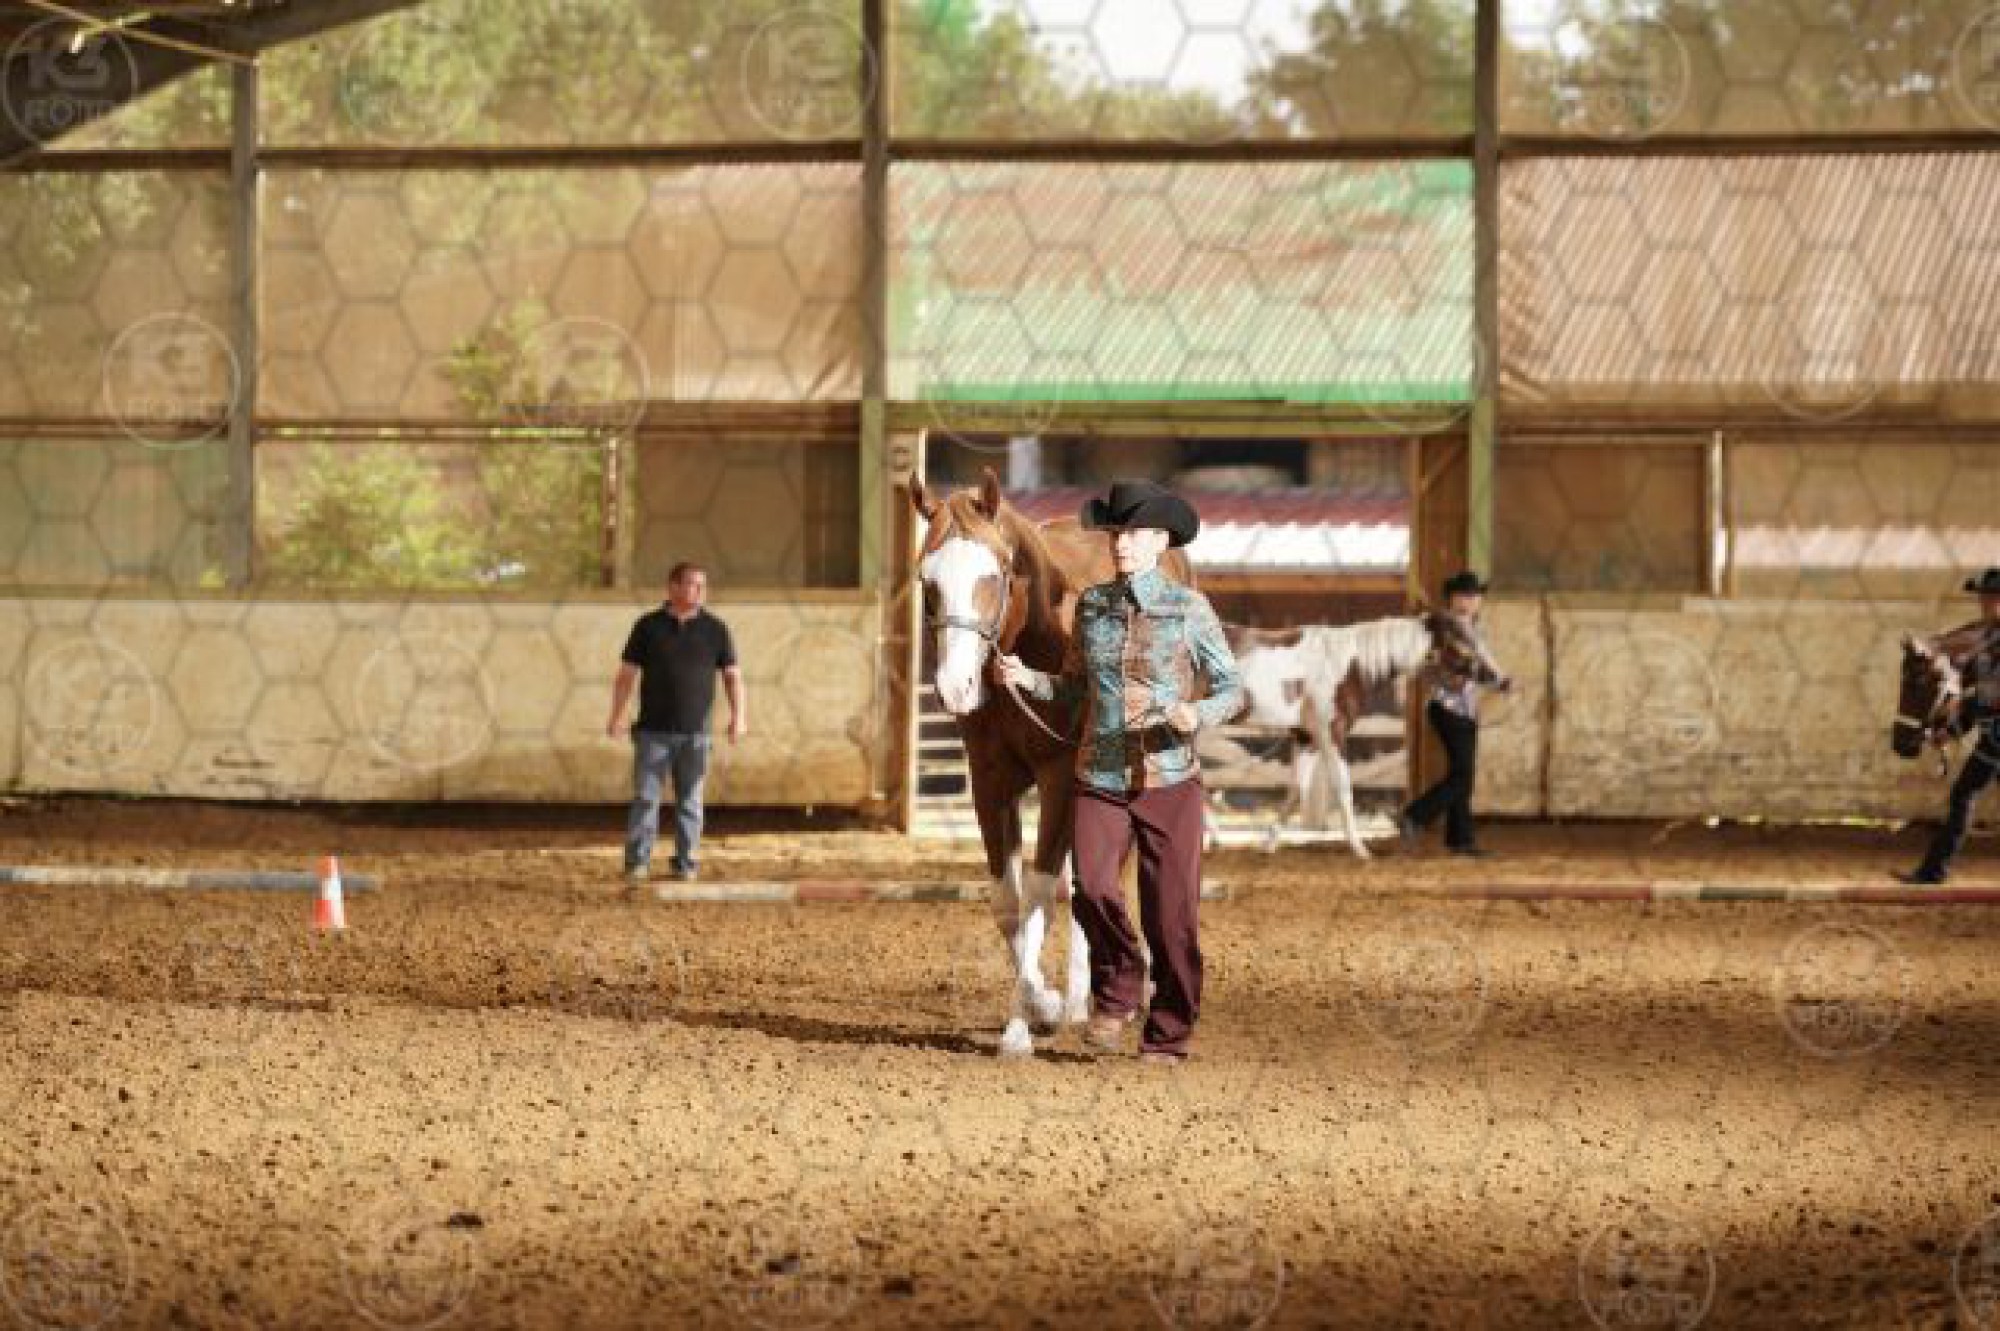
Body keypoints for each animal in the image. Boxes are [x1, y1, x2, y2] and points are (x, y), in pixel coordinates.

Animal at [1225, 612, 1504, 858]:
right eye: (1460, 641)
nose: (1500, 678)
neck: (1347, 667)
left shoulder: (1307, 738)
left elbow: (1295, 789)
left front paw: (1269, 845)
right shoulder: (1331, 734)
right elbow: (1343, 788)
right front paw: (1361, 850)